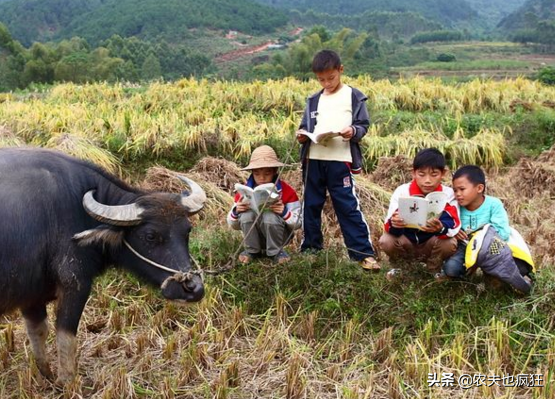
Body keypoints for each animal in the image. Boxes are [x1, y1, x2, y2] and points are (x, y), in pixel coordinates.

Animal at [0, 148, 206, 386]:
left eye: (187, 230)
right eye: (150, 235)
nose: (193, 288)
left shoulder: (32, 295)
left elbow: (38, 331)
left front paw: (46, 375)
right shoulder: (75, 284)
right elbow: (65, 336)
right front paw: (67, 382)